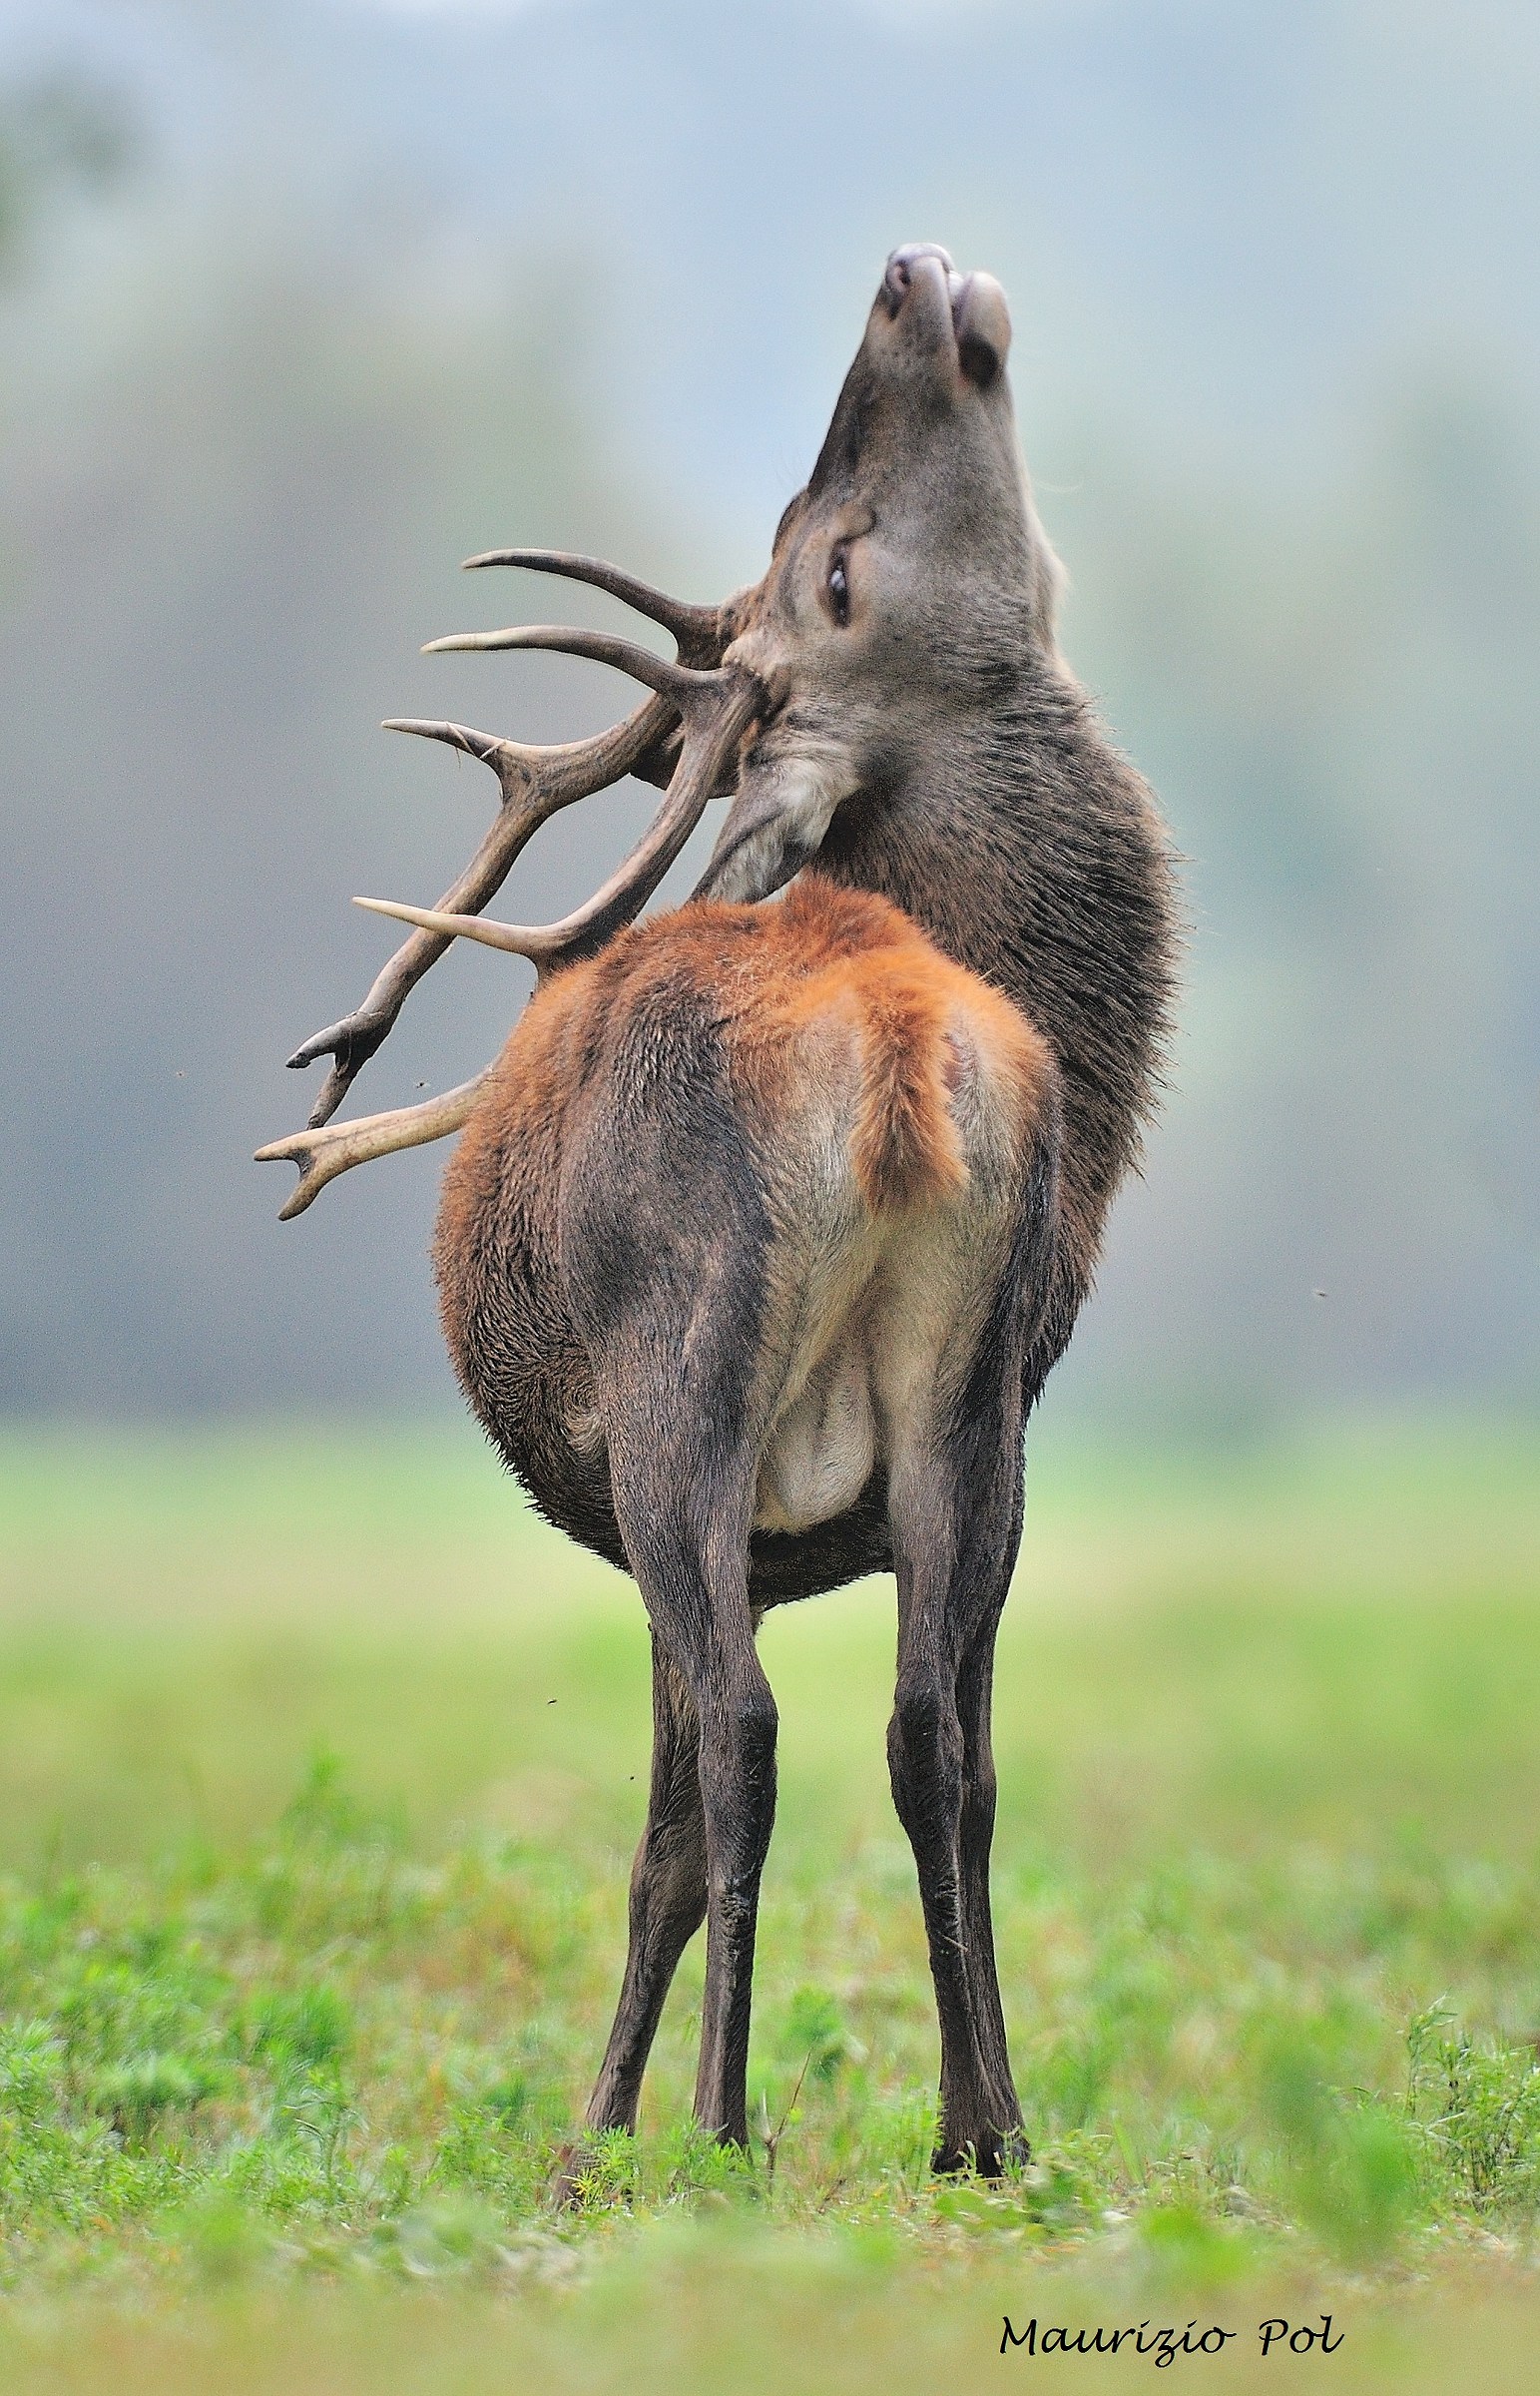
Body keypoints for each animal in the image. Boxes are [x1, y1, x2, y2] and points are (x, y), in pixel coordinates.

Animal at [258, 245, 1177, 2182]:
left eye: (828, 569)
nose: (908, 275)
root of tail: (896, 1039)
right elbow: (933, 1765)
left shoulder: (648, 1501)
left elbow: (662, 1838)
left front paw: (594, 2131)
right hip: (966, 1410)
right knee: (936, 1739)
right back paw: (980, 2133)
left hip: (685, 1368)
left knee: (753, 1736)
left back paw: (716, 2127)